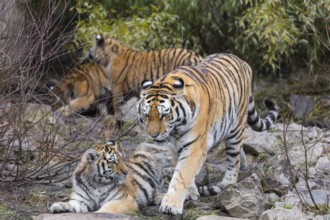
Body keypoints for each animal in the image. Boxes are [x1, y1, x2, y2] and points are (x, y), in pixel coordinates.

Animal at [137, 52, 278, 214]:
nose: (153, 135)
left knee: (233, 163)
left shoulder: (195, 147)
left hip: (235, 129)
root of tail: (242, 61)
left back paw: (226, 184)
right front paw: (191, 194)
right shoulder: (176, 147)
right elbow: (185, 172)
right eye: (147, 115)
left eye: (164, 115)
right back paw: (243, 164)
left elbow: (182, 174)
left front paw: (171, 205)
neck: (176, 130)